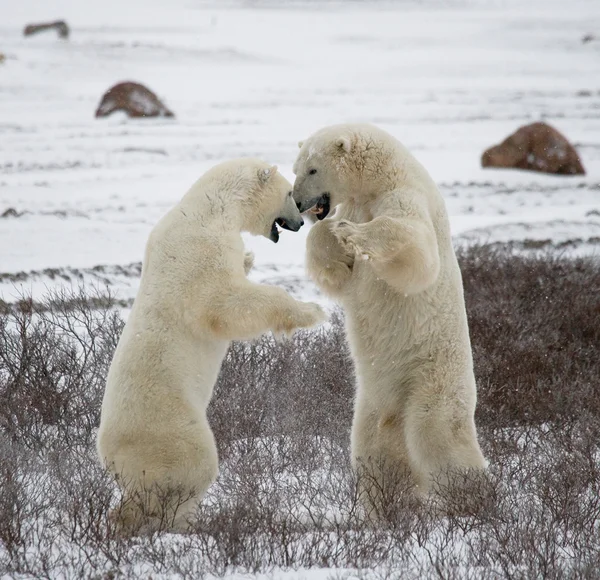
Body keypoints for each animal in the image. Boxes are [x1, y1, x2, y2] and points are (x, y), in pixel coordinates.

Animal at [96, 159, 326, 536]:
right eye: (290, 193)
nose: (300, 221)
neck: (212, 208)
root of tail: (110, 454)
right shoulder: (201, 251)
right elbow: (226, 303)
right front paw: (313, 311)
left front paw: (248, 257)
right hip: (171, 429)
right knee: (190, 470)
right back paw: (178, 522)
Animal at [292, 121, 488, 508]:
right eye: (296, 168)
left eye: (312, 169)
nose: (296, 200)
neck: (380, 176)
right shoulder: (354, 204)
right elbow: (337, 272)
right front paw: (334, 242)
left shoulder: (404, 195)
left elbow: (415, 248)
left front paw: (353, 234)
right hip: (372, 400)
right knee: (373, 453)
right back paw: (383, 508)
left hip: (431, 376)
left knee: (436, 435)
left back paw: (472, 497)